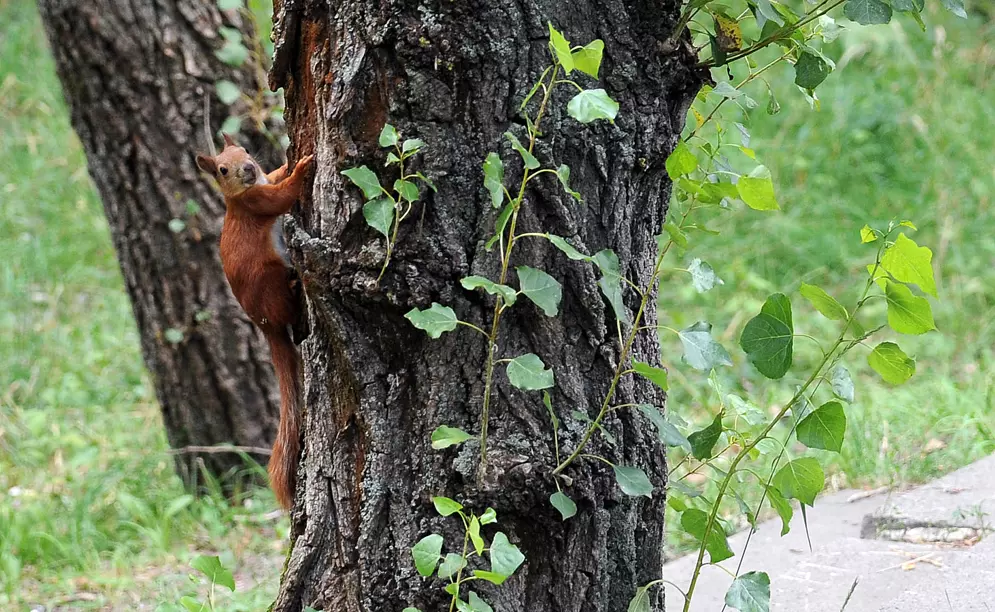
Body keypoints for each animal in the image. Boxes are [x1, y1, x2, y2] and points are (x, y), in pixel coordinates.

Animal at [196, 135, 314, 512]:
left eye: (245, 151)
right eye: (222, 169)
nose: (248, 169)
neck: (241, 194)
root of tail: (265, 326)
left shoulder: (262, 184)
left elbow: (276, 177)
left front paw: (286, 163)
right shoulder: (256, 204)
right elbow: (282, 197)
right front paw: (302, 167)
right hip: (269, 279)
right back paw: (294, 286)